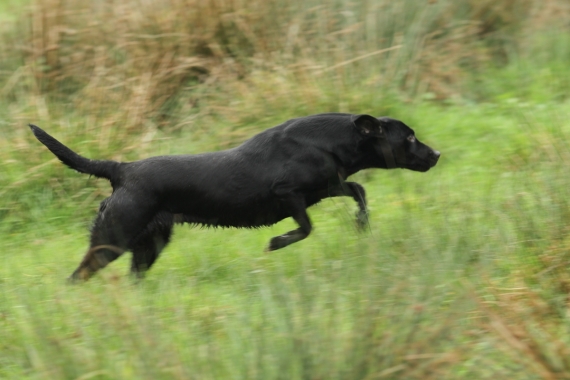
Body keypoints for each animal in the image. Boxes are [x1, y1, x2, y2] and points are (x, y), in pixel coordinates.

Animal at [30, 112, 440, 280]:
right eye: (409, 137)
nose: (437, 154)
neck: (333, 140)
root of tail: (121, 169)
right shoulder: (289, 194)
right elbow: (305, 228)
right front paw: (276, 243)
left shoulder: (326, 187)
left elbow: (359, 190)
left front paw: (362, 224)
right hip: (112, 240)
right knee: (78, 274)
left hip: (149, 245)